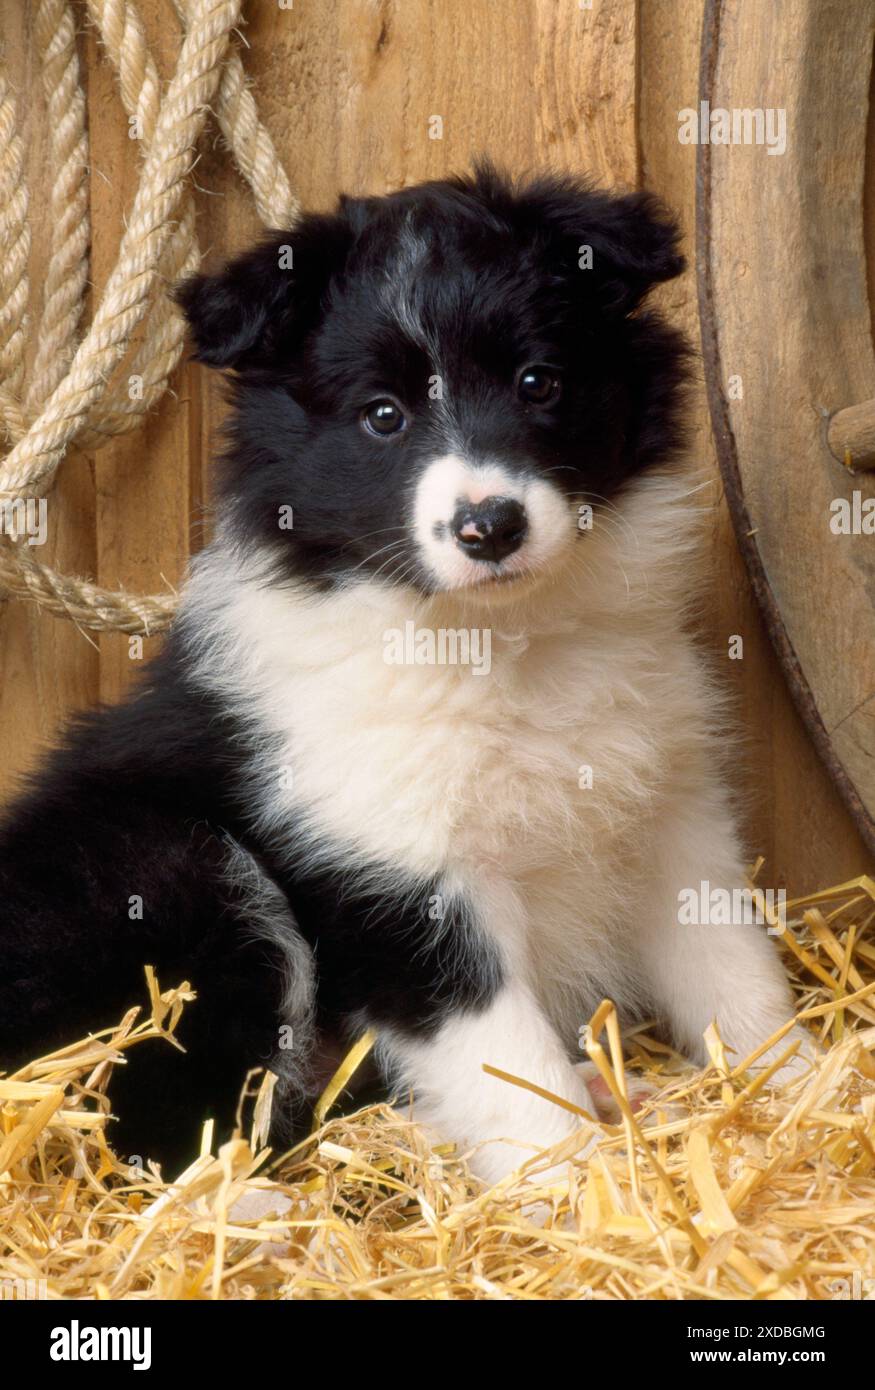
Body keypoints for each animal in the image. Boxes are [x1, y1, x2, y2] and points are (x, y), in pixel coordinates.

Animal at [0, 168, 806, 1178]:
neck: (497, 643)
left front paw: (805, 1089)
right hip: (176, 873)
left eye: (537, 382)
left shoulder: (668, 811)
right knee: (151, 1129)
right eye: (382, 416)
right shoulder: (401, 875)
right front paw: (564, 1181)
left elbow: (733, 972)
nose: (488, 526)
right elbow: (505, 1059)